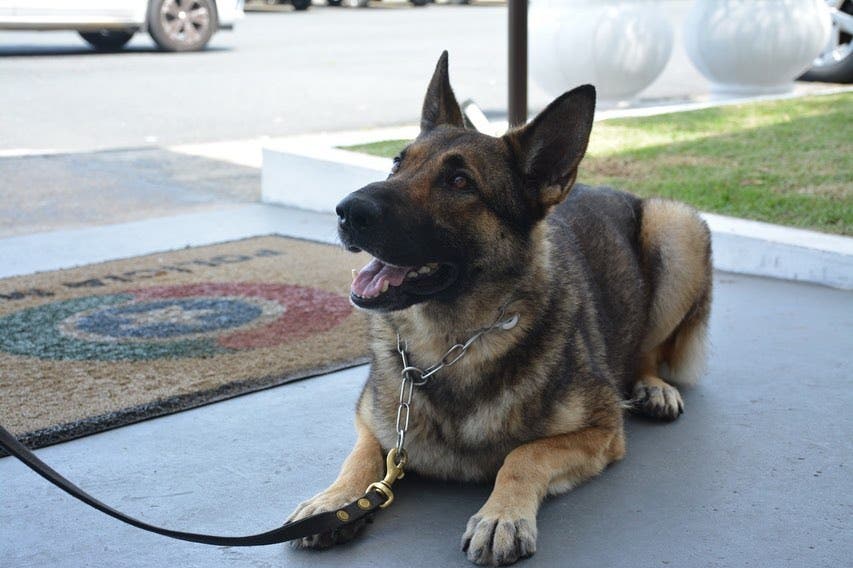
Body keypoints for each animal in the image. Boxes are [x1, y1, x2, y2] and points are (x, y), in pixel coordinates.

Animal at [286, 52, 712, 564]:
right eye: (396, 163)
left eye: (459, 181)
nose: (347, 210)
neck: (450, 347)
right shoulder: (375, 425)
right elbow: (363, 455)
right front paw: (335, 501)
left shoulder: (602, 429)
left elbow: (522, 456)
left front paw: (500, 515)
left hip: (677, 228)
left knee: (648, 351)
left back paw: (653, 386)